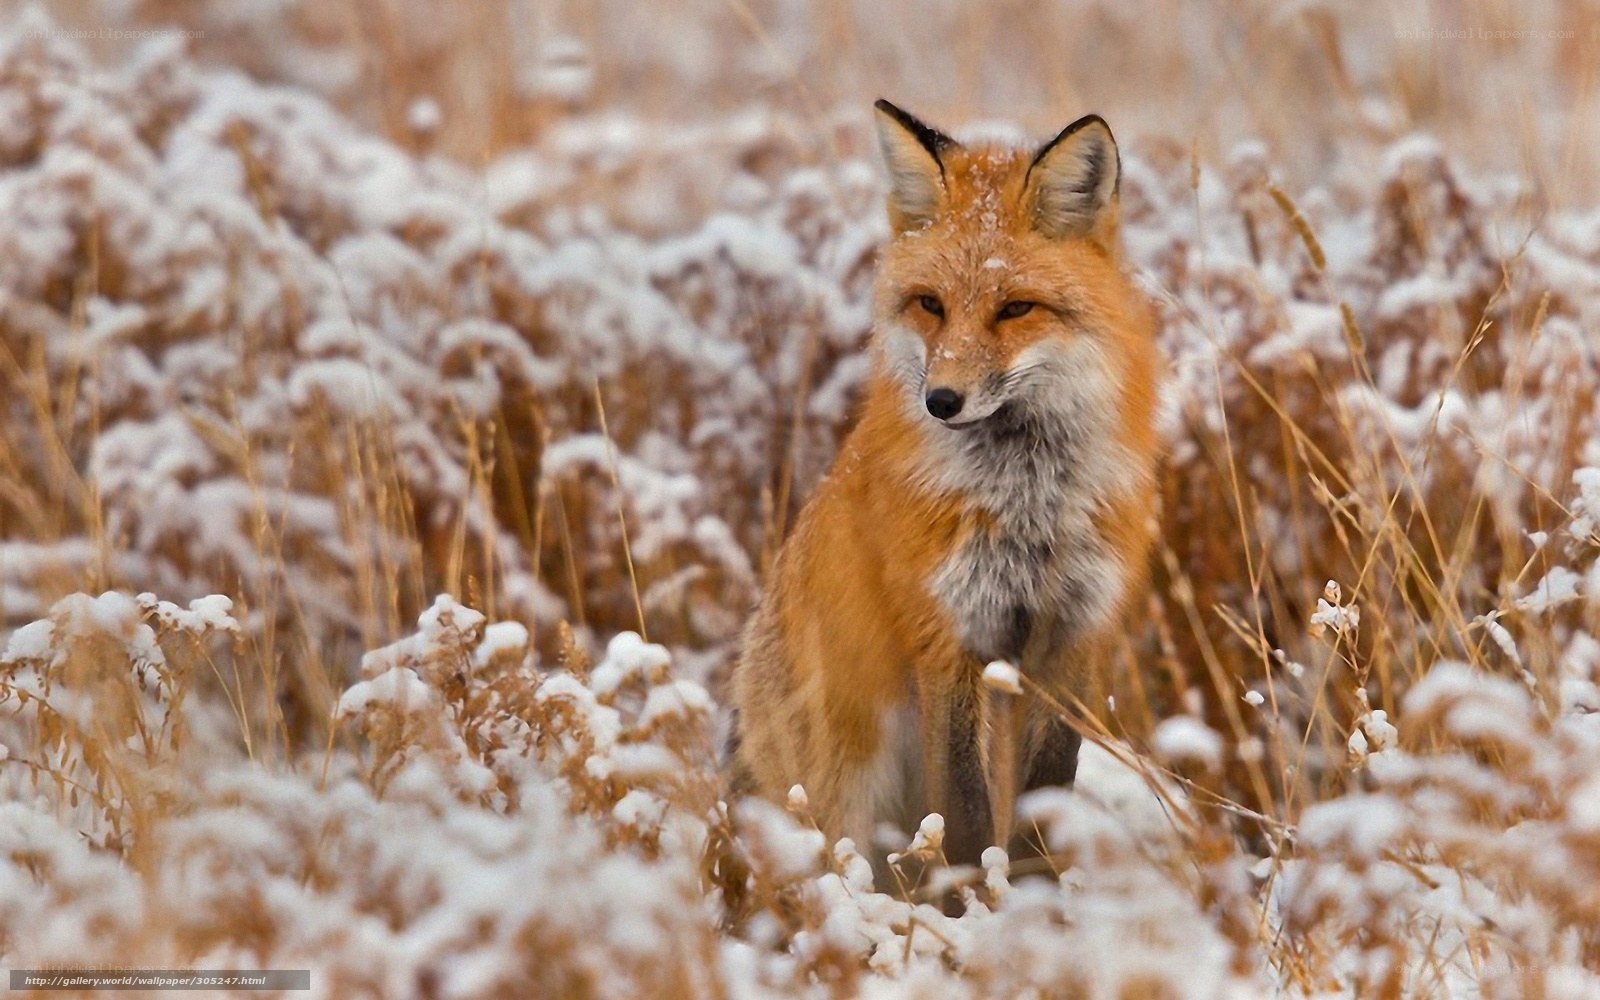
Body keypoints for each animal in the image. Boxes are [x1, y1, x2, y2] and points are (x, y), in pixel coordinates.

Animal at [729, 100, 1163, 866]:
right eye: (930, 305)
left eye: (1016, 308)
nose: (942, 400)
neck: (1028, 502)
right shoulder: (946, 635)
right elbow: (960, 814)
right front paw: (969, 892)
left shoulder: (1072, 636)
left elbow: (1045, 796)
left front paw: (1035, 891)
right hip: (846, 787)